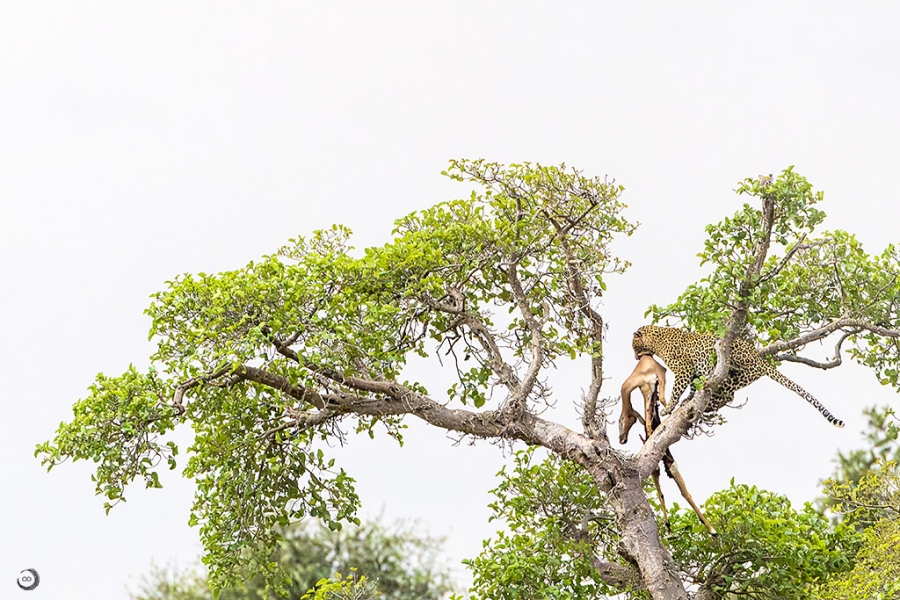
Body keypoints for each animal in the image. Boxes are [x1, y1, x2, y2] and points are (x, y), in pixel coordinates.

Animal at [632, 325, 844, 428]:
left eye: (634, 346)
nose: (635, 357)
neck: (657, 341)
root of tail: (758, 357)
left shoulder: (683, 370)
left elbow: (676, 390)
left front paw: (669, 408)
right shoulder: (693, 373)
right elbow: (692, 388)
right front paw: (688, 400)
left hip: (736, 371)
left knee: (729, 392)